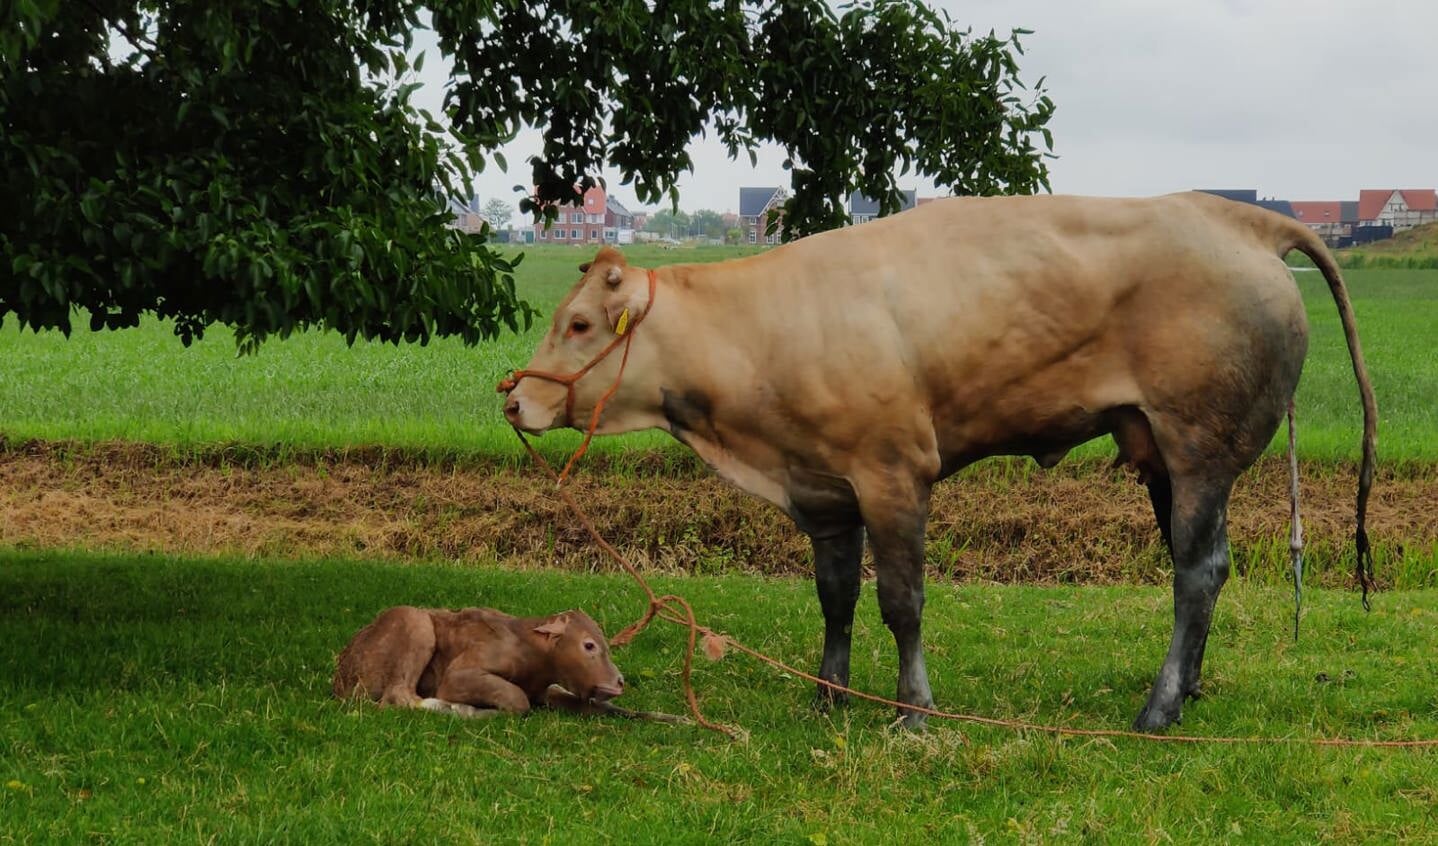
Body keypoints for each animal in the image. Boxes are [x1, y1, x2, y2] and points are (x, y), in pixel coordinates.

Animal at [330, 604, 678, 725]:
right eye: (589, 645)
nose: (619, 681)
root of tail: (341, 676)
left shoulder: (548, 691)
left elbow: (604, 707)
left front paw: (674, 718)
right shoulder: (459, 675)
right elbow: (517, 699)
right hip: (416, 624)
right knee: (398, 697)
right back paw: (462, 710)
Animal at [500, 192, 1374, 733]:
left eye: (580, 324)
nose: (513, 402)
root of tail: (1233, 214)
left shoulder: (893, 474)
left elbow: (902, 603)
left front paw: (912, 710)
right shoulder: (824, 492)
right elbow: (836, 599)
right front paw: (828, 696)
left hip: (1199, 451)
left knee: (1199, 571)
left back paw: (1158, 711)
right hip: (1165, 456)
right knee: (1204, 571)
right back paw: (1185, 688)